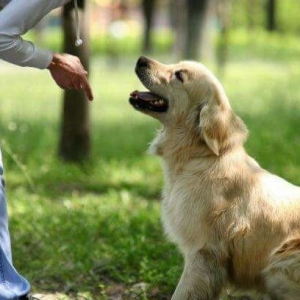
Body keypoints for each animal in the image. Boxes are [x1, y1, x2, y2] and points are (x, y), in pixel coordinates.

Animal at [128, 56, 300, 300]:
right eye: (175, 64)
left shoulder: (203, 253)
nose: (141, 59)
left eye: (179, 75)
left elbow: (182, 293)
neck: (200, 156)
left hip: (278, 264)